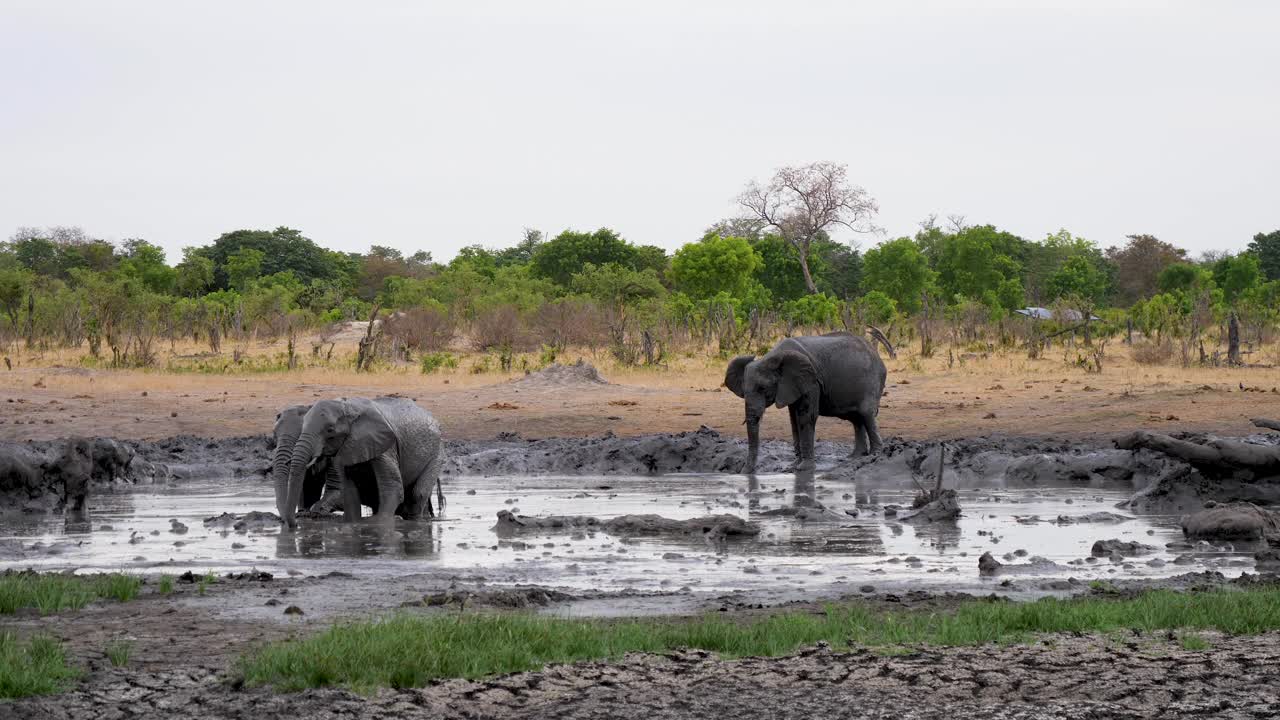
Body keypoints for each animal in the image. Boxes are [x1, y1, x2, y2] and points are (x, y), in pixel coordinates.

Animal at [277, 392, 442, 527]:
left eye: (330, 430)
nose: (293, 524)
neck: (348, 408)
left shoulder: (384, 444)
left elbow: (392, 487)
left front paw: (381, 523)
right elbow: (348, 490)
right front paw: (353, 524)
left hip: (436, 453)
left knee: (418, 493)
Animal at [727, 330, 885, 471]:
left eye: (763, 388)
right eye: (744, 391)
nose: (746, 471)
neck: (772, 357)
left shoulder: (811, 381)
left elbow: (806, 416)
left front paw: (804, 468)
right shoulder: (791, 386)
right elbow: (793, 420)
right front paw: (794, 466)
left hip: (871, 382)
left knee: (866, 414)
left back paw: (875, 455)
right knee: (856, 419)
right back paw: (855, 457)